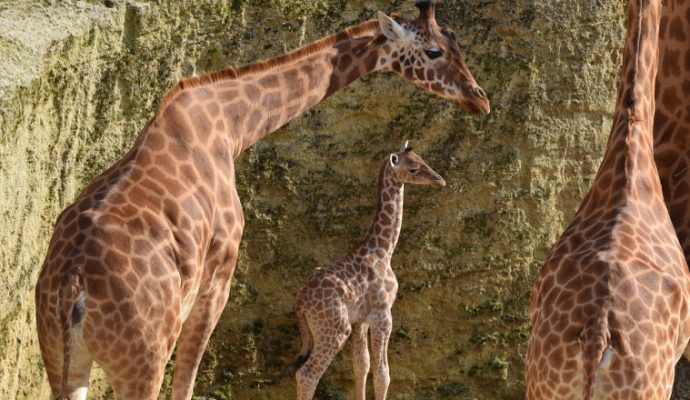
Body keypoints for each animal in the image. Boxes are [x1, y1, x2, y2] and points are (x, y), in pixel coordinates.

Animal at [292, 144, 444, 400]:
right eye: (413, 169)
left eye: (422, 159)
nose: (439, 180)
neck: (383, 249)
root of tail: (300, 302)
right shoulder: (382, 314)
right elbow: (383, 374)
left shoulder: (360, 320)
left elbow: (361, 365)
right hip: (334, 329)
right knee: (307, 375)